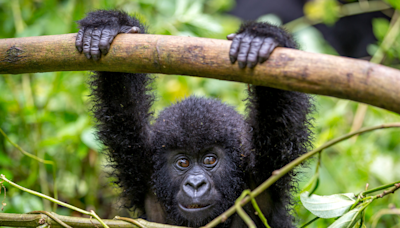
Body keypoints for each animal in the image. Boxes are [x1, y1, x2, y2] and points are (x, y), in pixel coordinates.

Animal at [75, 9, 312, 228]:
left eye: (210, 160)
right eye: (183, 162)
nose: (196, 184)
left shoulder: (265, 171)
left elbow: (279, 112)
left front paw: (262, 37)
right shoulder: (140, 164)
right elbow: (122, 103)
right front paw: (108, 26)